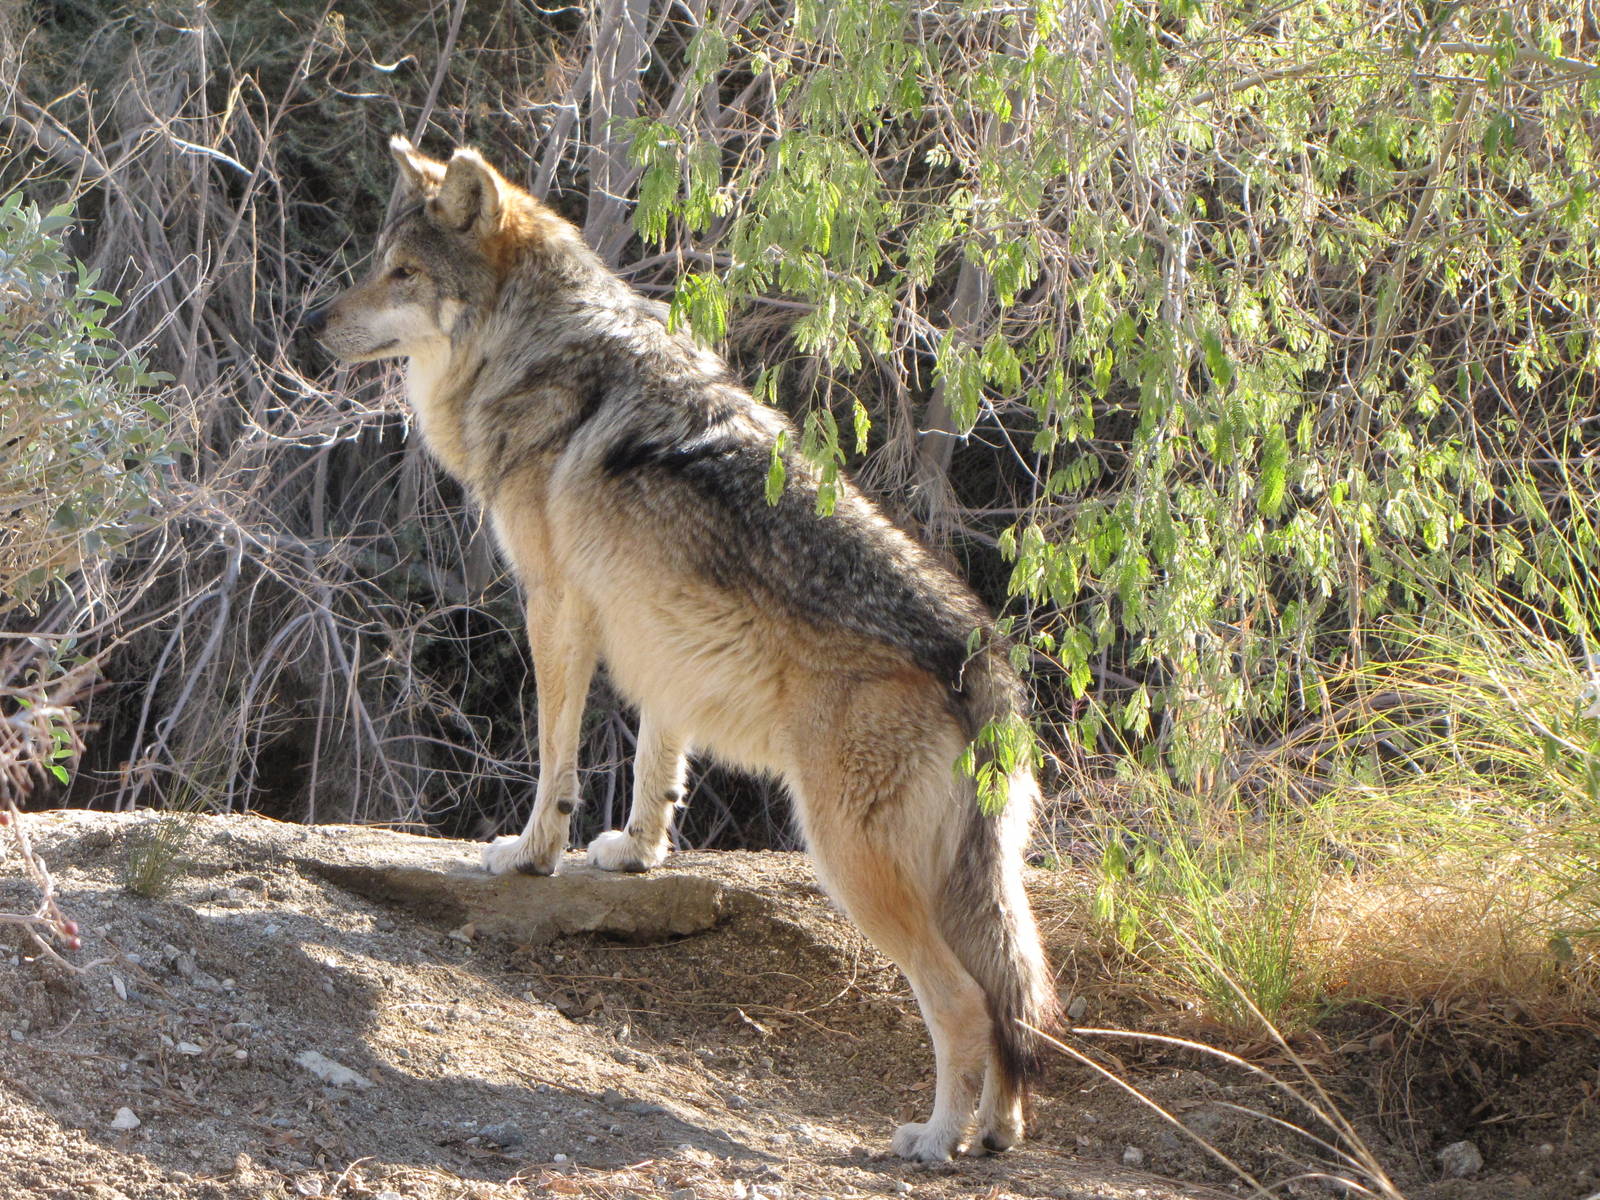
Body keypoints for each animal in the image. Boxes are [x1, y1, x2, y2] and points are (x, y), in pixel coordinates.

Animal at [304, 137, 1059, 1160]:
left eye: (404, 274)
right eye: (377, 265)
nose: (313, 323)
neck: (532, 349)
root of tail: (980, 659)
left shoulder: (557, 604)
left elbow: (556, 756)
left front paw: (532, 853)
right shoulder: (650, 631)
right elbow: (658, 760)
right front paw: (634, 852)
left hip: (852, 863)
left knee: (963, 1004)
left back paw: (932, 1139)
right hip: (961, 880)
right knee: (1014, 997)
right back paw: (992, 1133)